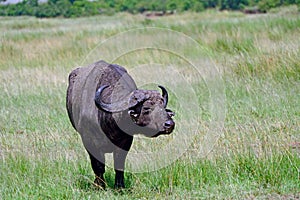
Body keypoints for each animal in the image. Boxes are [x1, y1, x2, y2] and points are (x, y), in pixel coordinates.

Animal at [67, 60, 175, 188]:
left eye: (162, 107)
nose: (169, 124)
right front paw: (100, 186)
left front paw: (119, 187)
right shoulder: (89, 142)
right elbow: (98, 166)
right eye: (146, 108)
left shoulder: (125, 142)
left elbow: (119, 164)